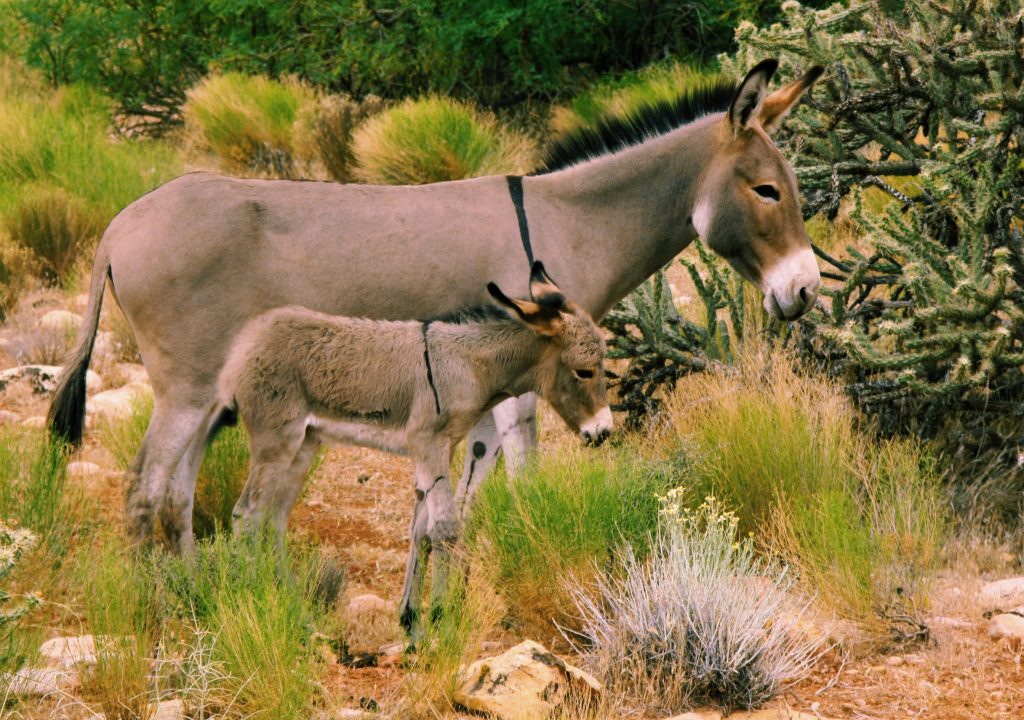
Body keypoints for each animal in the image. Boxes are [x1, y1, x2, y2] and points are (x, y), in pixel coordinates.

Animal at [214, 264, 606, 634]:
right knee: (247, 515)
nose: (602, 432)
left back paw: (298, 614)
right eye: (585, 372)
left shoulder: (441, 449)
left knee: (274, 518)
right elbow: (446, 528)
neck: (470, 366)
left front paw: (413, 624)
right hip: (276, 443)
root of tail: (245, 346)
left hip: (304, 446)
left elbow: (422, 531)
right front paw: (442, 620)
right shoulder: (428, 444)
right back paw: (254, 599)